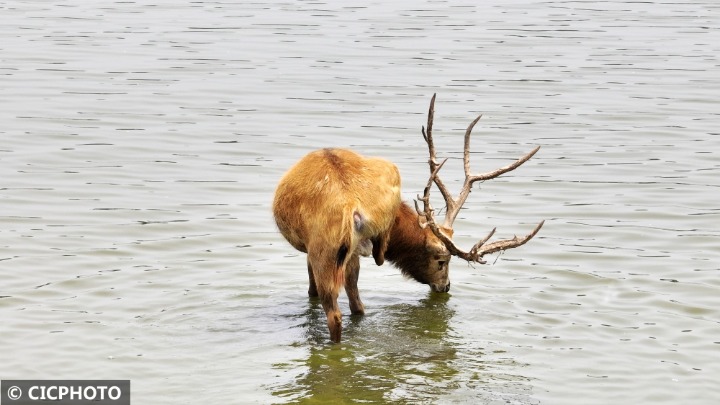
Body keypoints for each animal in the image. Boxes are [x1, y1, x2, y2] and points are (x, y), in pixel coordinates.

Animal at [272, 92, 544, 340]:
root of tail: (351, 205)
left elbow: (312, 291)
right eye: (442, 261)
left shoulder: (312, 250)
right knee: (355, 306)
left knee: (337, 311)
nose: (445, 286)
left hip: (326, 250)